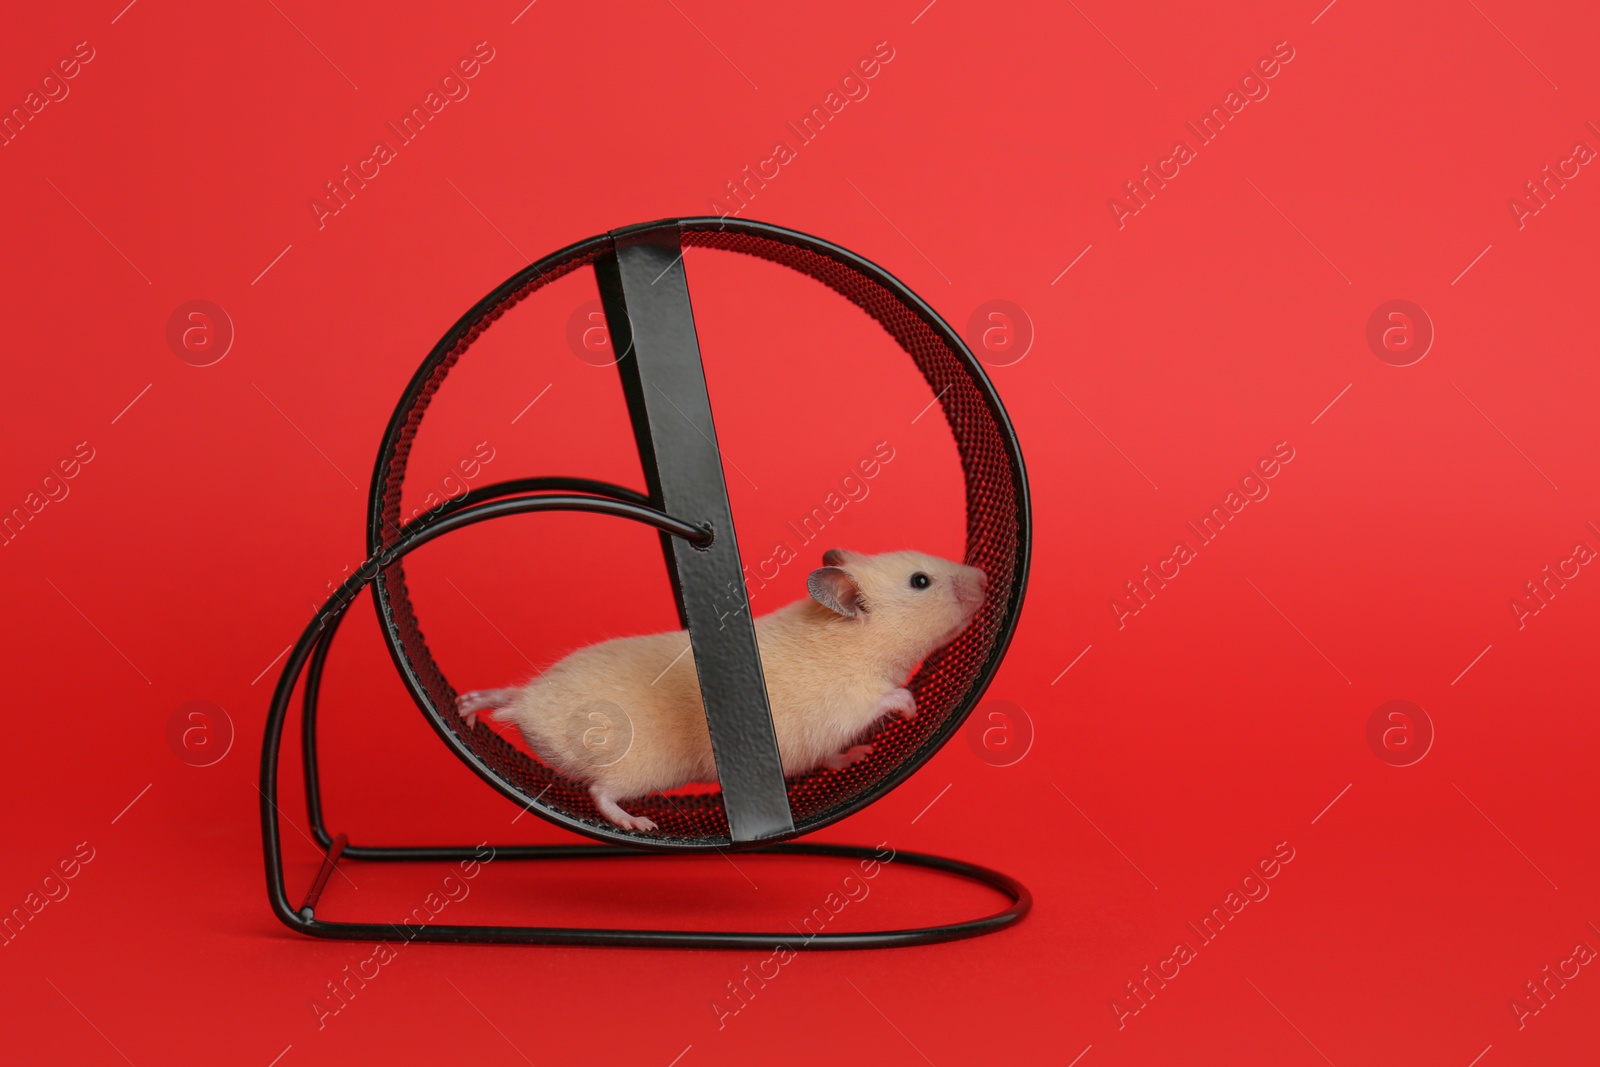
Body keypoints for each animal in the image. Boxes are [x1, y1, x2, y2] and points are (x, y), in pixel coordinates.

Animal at [451, 550, 992, 831]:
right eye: (920, 581)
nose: (986, 577)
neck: (849, 638)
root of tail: (530, 715)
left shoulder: (819, 744)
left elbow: (832, 755)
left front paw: (857, 756)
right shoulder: (844, 702)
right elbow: (878, 701)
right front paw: (910, 705)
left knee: (508, 695)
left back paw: (469, 706)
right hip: (637, 770)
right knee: (600, 791)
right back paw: (635, 823)